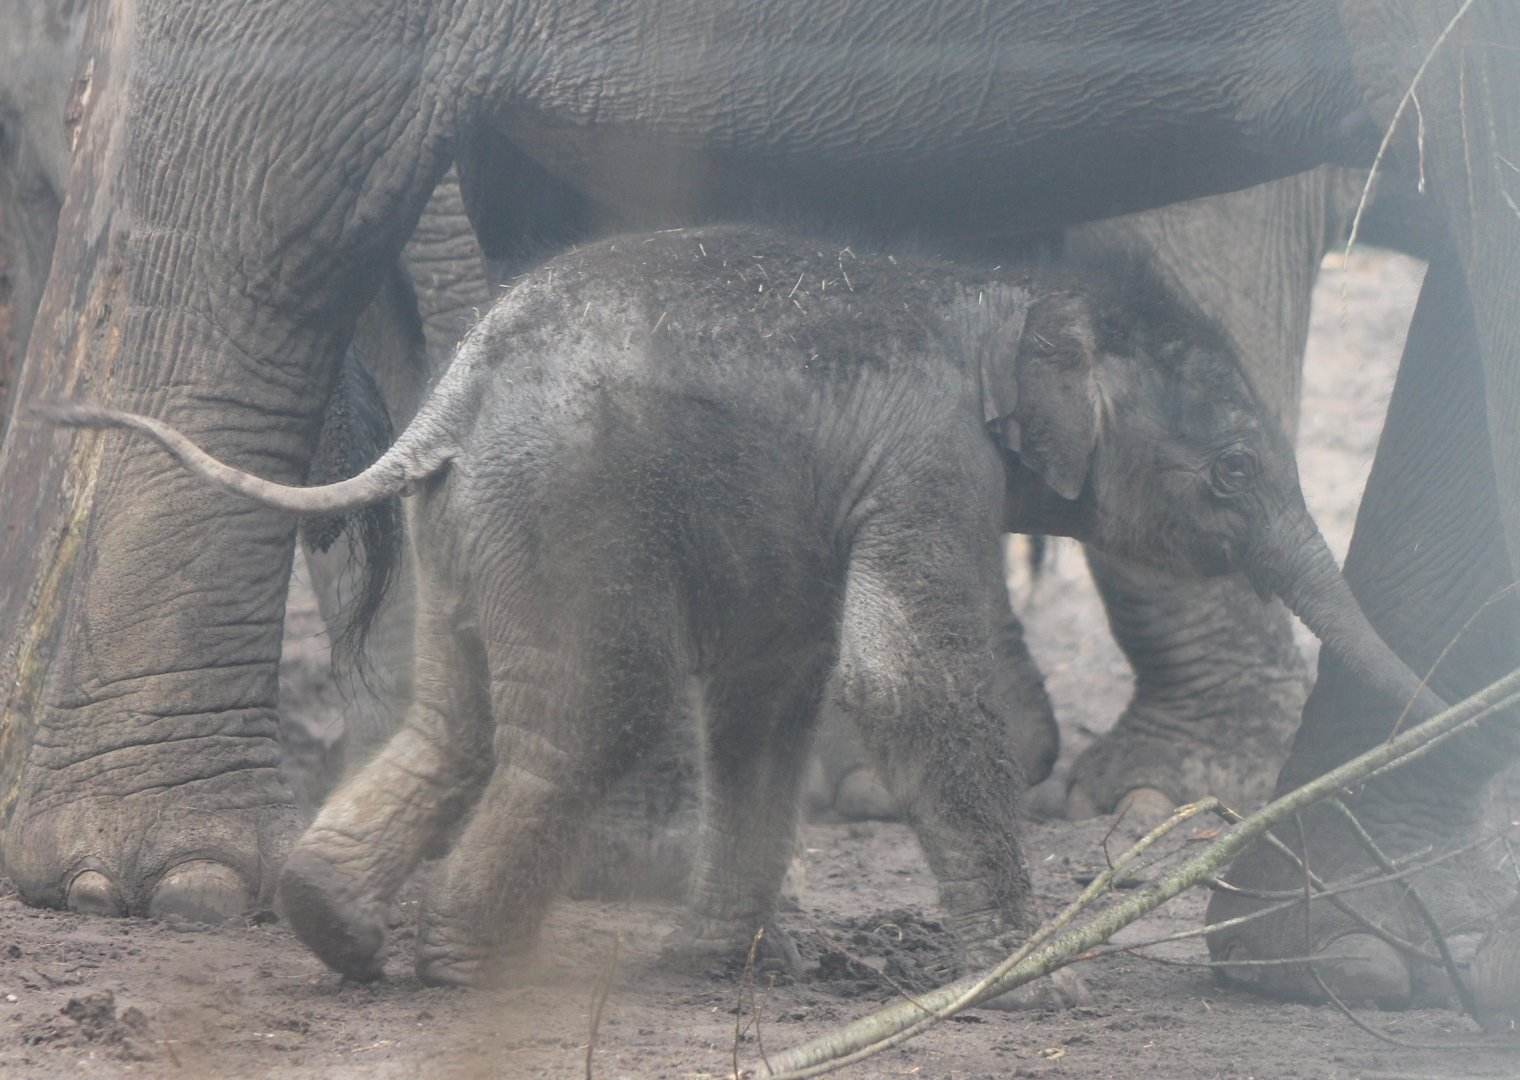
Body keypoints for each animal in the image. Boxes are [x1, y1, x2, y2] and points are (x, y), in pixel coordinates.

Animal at [2, 0, 1516, 1011]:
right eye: (1234, 478)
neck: (998, 313)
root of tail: (464, 393)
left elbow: (778, 680)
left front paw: (1357, 964)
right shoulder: (929, 461)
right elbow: (905, 683)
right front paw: (1034, 980)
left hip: (490, 513)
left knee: (470, 703)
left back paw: (346, 923)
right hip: (552, 498)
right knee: (268, 231)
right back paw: (233, 901)